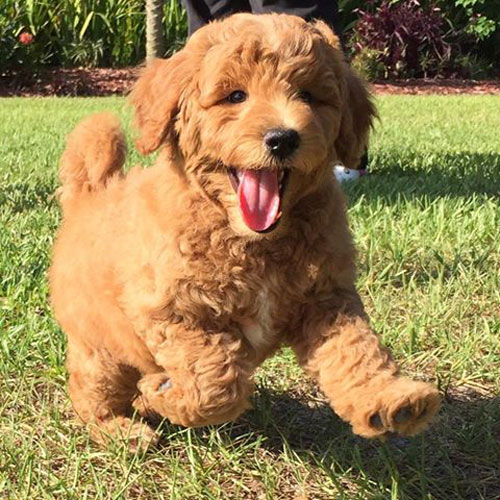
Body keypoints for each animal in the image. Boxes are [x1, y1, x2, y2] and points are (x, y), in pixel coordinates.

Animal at [50, 13, 440, 448]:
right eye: (235, 96)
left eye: (308, 95)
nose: (282, 138)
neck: (253, 241)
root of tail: (90, 194)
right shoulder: (168, 311)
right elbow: (215, 379)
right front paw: (166, 395)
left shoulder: (325, 299)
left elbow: (354, 350)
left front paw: (391, 398)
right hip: (99, 345)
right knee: (91, 388)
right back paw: (120, 428)